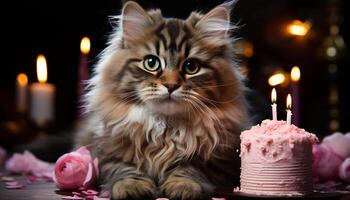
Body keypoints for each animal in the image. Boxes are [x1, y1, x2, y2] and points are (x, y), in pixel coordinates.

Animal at [77, 0, 249, 199]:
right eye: (151, 63)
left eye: (191, 67)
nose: (171, 85)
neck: (165, 128)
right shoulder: (107, 151)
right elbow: (125, 168)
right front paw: (132, 186)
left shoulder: (216, 159)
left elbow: (191, 169)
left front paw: (183, 185)